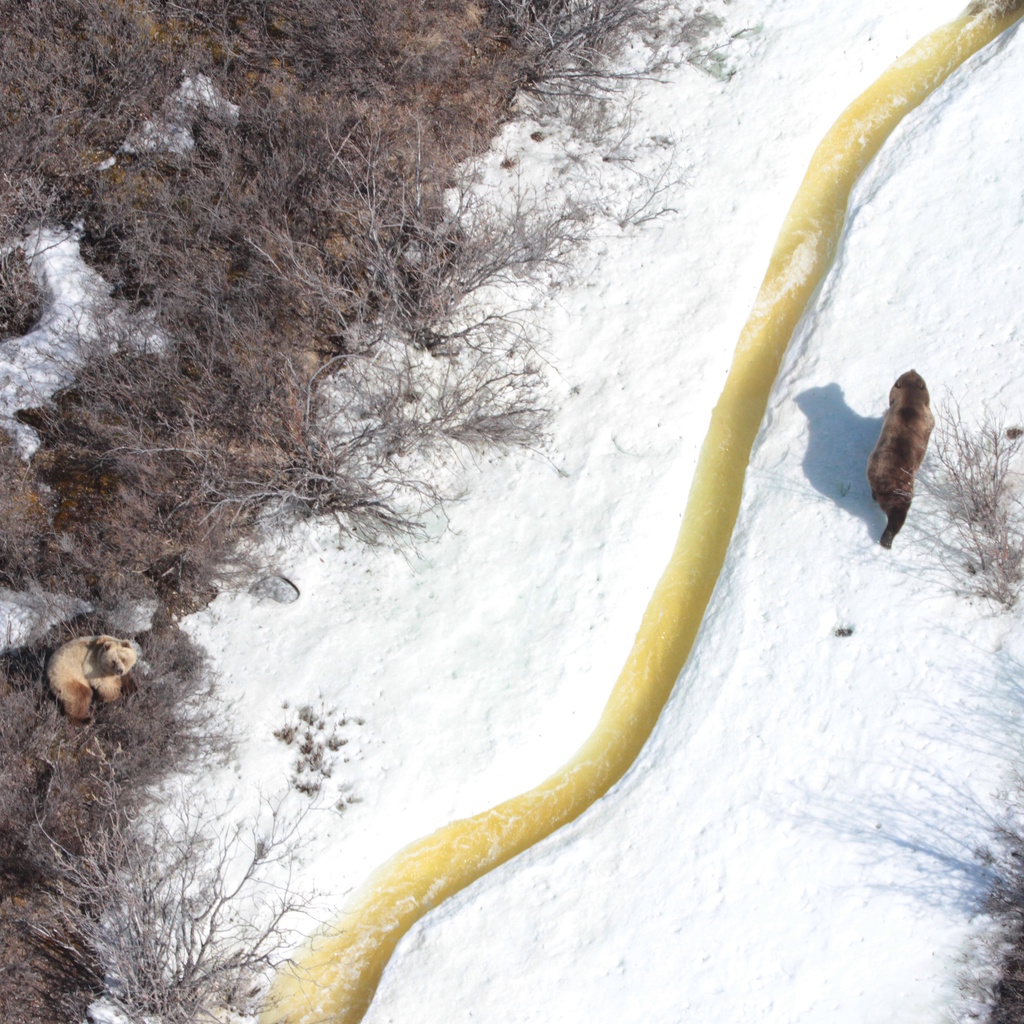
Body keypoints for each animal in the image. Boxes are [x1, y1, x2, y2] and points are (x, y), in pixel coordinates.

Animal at [867, 369, 935, 549]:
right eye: (921, 380)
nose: (913, 370)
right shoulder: (927, 418)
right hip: (902, 487)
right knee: (898, 514)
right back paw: (886, 540)